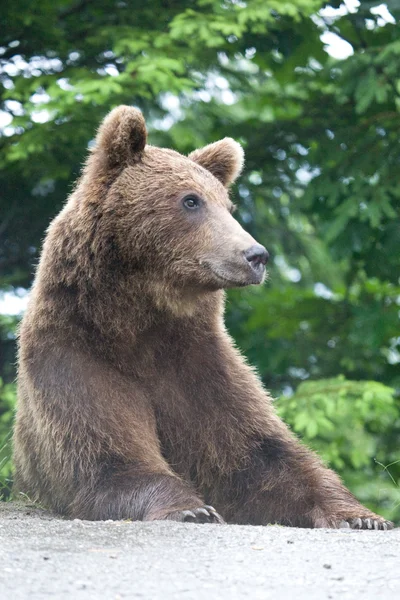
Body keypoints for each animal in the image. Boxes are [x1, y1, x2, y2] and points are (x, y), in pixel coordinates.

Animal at [14, 108, 392, 528]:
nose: (256, 255)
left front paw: (360, 515)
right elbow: (106, 453)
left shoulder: (198, 364)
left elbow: (258, 455)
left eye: (228, 206)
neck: (140, 322)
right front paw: (191, 507)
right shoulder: (76, 354)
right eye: (191, 200)